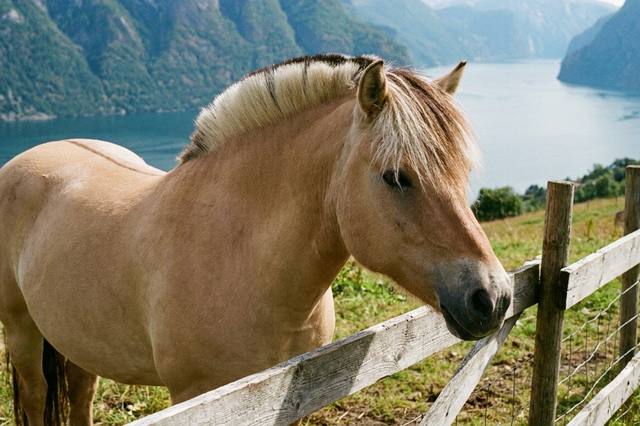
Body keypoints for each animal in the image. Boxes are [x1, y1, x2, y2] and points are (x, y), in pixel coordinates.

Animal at [0, 54, 512, 425]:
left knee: (80, 393)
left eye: (463, 173)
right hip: (22, 332)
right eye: (396, 177)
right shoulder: (196, 399)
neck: (237, 255)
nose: (493, 297)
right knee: (35, 395)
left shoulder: (293, 394)